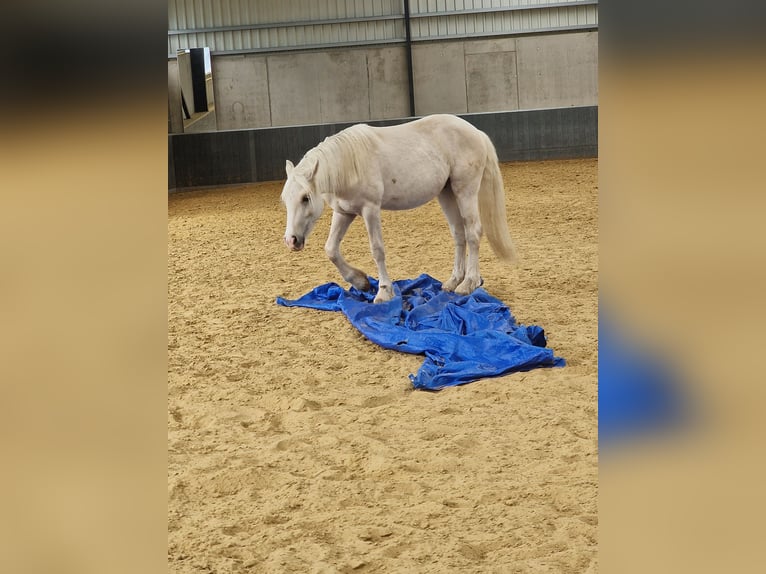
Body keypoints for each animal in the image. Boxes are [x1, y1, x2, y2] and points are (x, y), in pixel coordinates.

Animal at [280, 114, 517, 303]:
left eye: (305, 198)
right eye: (285, 200)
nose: (291, 240)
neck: (349, 164)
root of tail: (476, 132)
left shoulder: (370, 210)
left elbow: (377, 250)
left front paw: (384, 291)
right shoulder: (344, 212)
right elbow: (331, 249)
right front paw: (360, 282)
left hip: (465, 191)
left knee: (473, 232)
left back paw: (468, 283)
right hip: (447, 194)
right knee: (459, 234)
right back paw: (453, 281)